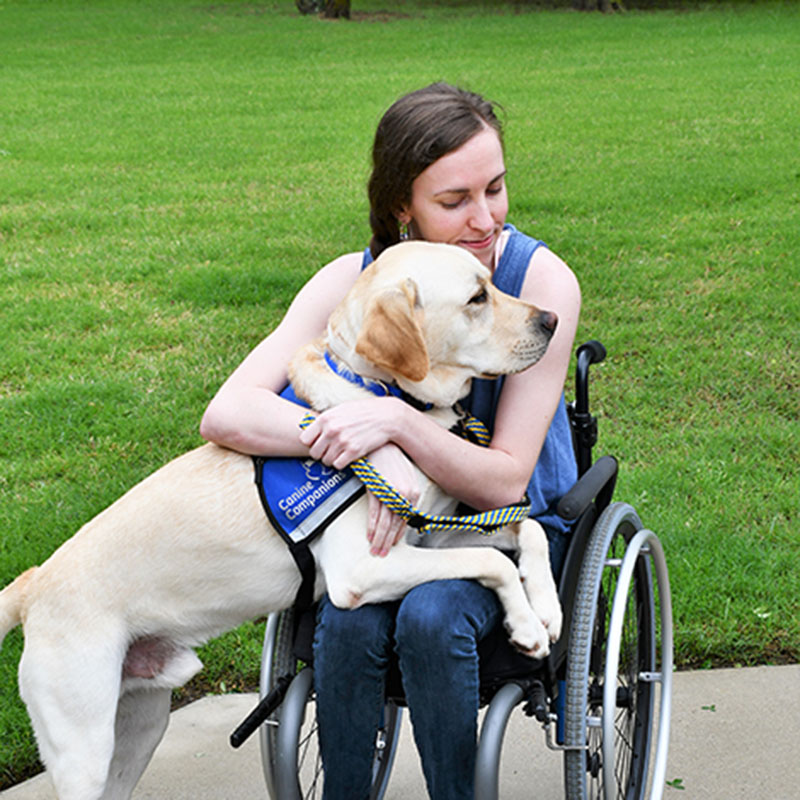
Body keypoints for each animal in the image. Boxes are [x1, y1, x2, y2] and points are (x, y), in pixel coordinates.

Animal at [1, 242, 564, 800]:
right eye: (476, 298)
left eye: (491, 282)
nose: (554, 319)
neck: (387, 397)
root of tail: (33, 583)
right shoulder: (361, 570)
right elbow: (493, 560)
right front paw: (526, 627)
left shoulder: (425, 538)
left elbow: (526, 530)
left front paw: (548, 608)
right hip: (85, 745)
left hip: (140, 723)